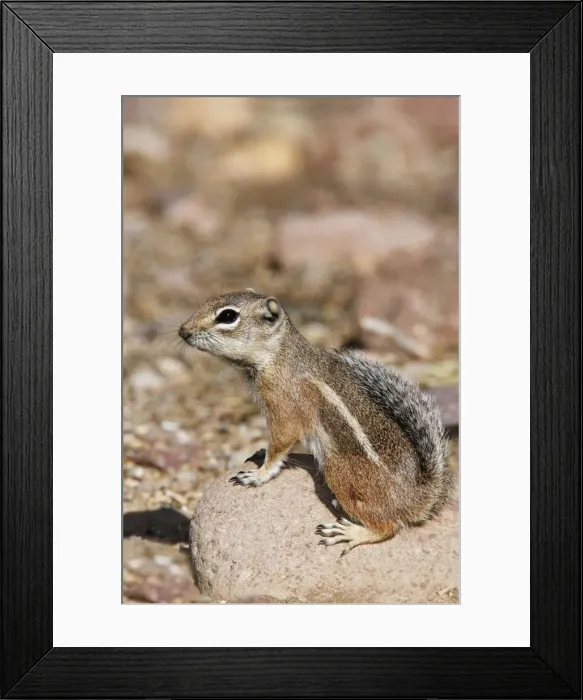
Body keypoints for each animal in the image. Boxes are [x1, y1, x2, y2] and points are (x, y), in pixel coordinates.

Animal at [179, 290, 453, 555]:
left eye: (227, 316)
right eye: (208, 300)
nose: (183, 331)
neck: (279, 355)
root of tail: (416, 496)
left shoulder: (284, 408)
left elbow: (280, 444)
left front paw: (259, 474)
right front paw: (259, 454)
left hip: (339, 470)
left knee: (389, 527)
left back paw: (351, 533)